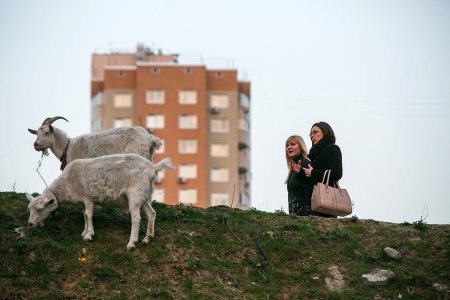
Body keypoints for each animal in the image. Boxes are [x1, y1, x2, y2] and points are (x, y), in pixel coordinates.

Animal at [25, 154, 175, 250]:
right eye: (30, 209)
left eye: (40, 209)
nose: (30, 224)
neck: (68, 182)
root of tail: (152, 167)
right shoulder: (83, 200)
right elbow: (84, 215)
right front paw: (84, 232)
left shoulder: (88, 198)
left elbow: (89, 214)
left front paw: (89, 235)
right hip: (145, 195)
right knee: (151, 213)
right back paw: (147, 238)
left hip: (135, 194)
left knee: (136, 218)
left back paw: (132, 243)